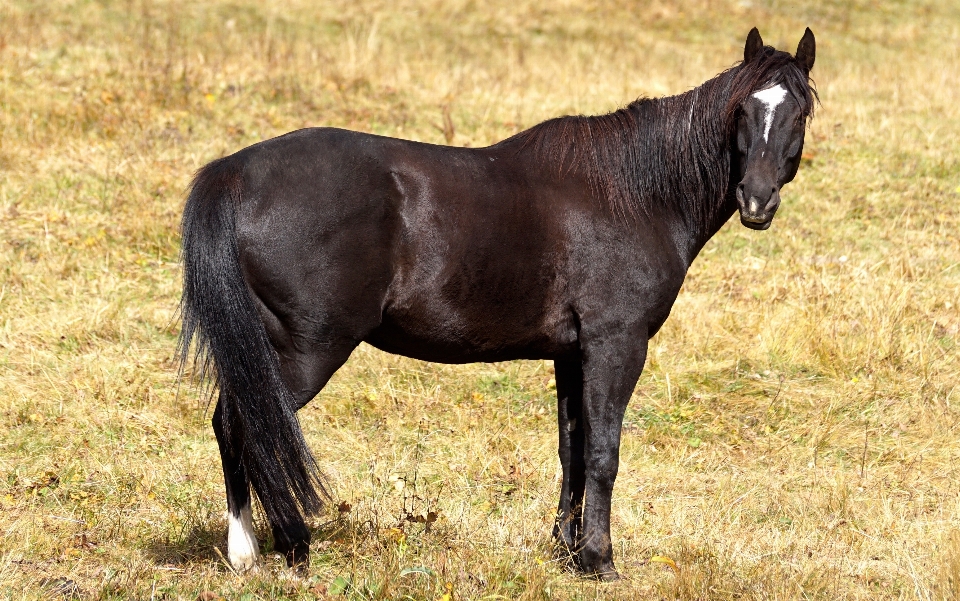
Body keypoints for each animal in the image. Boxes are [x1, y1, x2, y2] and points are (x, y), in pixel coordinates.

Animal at [180, 27, 816, 576]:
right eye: (743, 111)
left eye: (799, 112)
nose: (757, 201)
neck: (635, 193)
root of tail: (233, 174)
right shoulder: (616, 343)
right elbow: (603, 451)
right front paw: (599, 560)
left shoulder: (571, 353)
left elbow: (571, 450)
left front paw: (566, 551)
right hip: (309, 348)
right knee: (249, 425)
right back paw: (287, 546)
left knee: (232, 425)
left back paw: (247, 552)